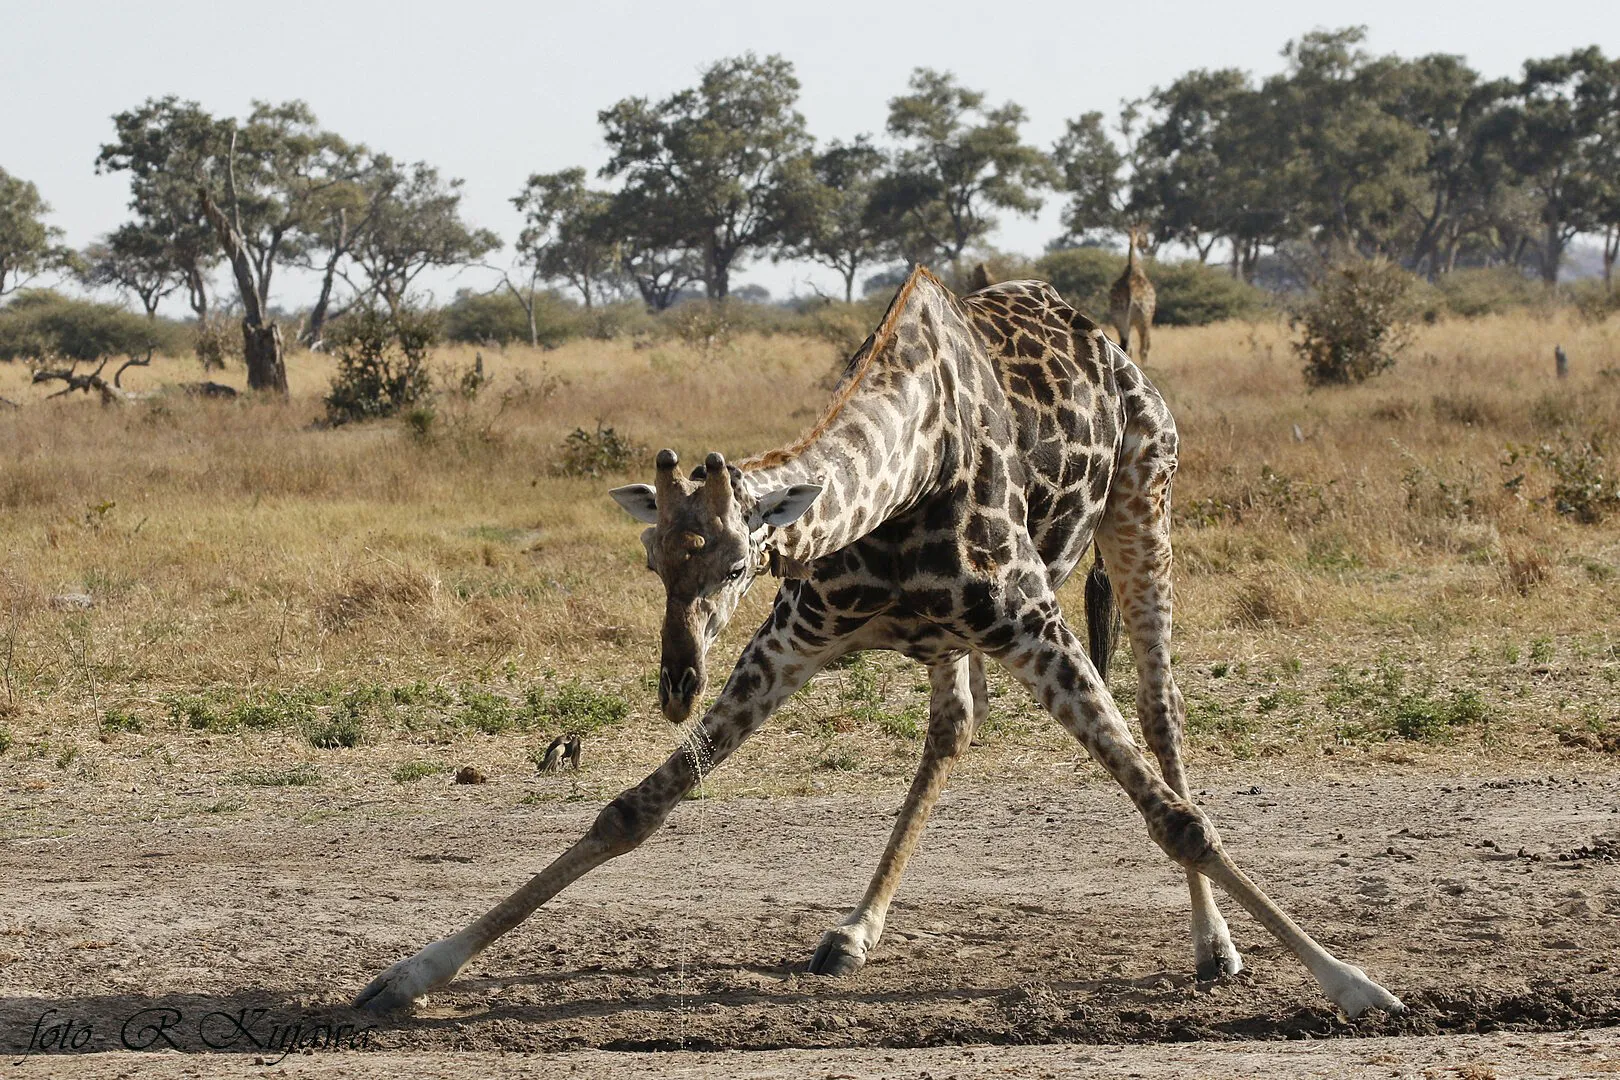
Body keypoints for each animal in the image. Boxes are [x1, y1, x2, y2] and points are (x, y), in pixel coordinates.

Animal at [354, 268, 1404, 1019]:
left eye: (736, 564)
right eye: (653, 558)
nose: (675, 682)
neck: (909, 476)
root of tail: (1112, 345)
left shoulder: (1032, 621)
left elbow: (1176, 818)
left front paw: (1356, 985)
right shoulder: (798, 635)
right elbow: (631, 810)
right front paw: (408, 976)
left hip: (1145, 510)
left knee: (1162, 713)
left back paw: (1215, 946)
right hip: (957, 634)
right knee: (954, 729)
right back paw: (855, 930)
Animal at [1109, 225, 1156, 364]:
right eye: (1144, 234)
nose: (1146, 244)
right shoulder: (1149, 317)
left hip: (1119, 318)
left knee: (1126, 347)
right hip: (1144, 319)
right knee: (1143, 348)